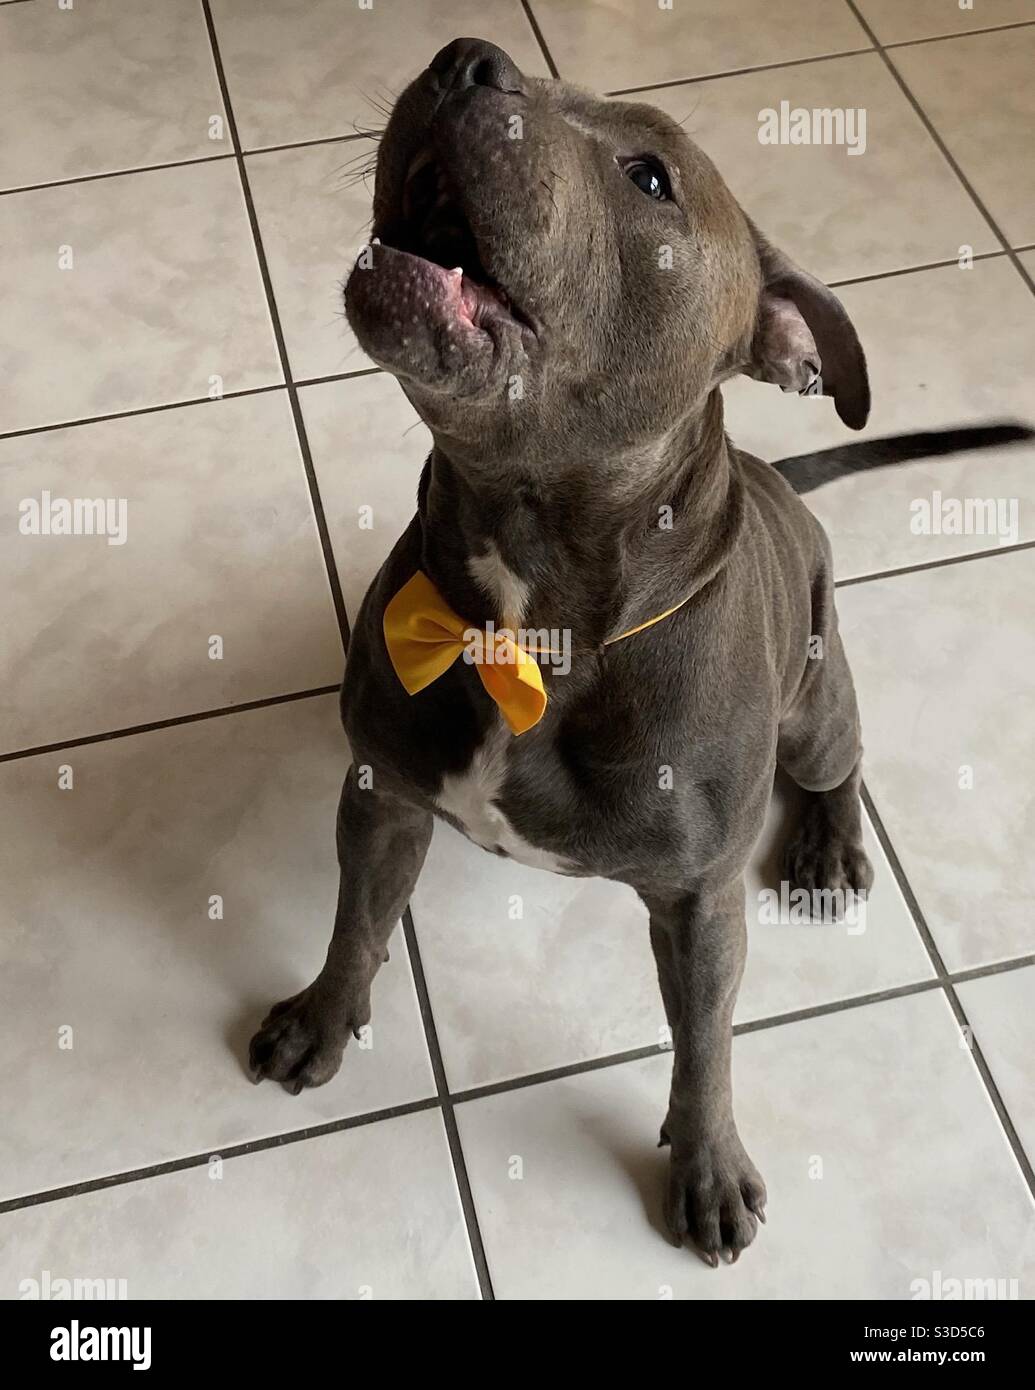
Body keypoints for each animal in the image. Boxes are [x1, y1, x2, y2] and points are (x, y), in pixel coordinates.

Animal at [248, 38, 878, 1267]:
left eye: (649, 178)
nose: (466, 59)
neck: (529, 616)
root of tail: (785, 486)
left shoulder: (700, 902)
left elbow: (706, 1042)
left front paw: (708, 1165)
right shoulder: (381, 792)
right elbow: (357, 922)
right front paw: (324, 1016)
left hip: (818, 704)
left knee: (842, 764)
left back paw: (829, 842)